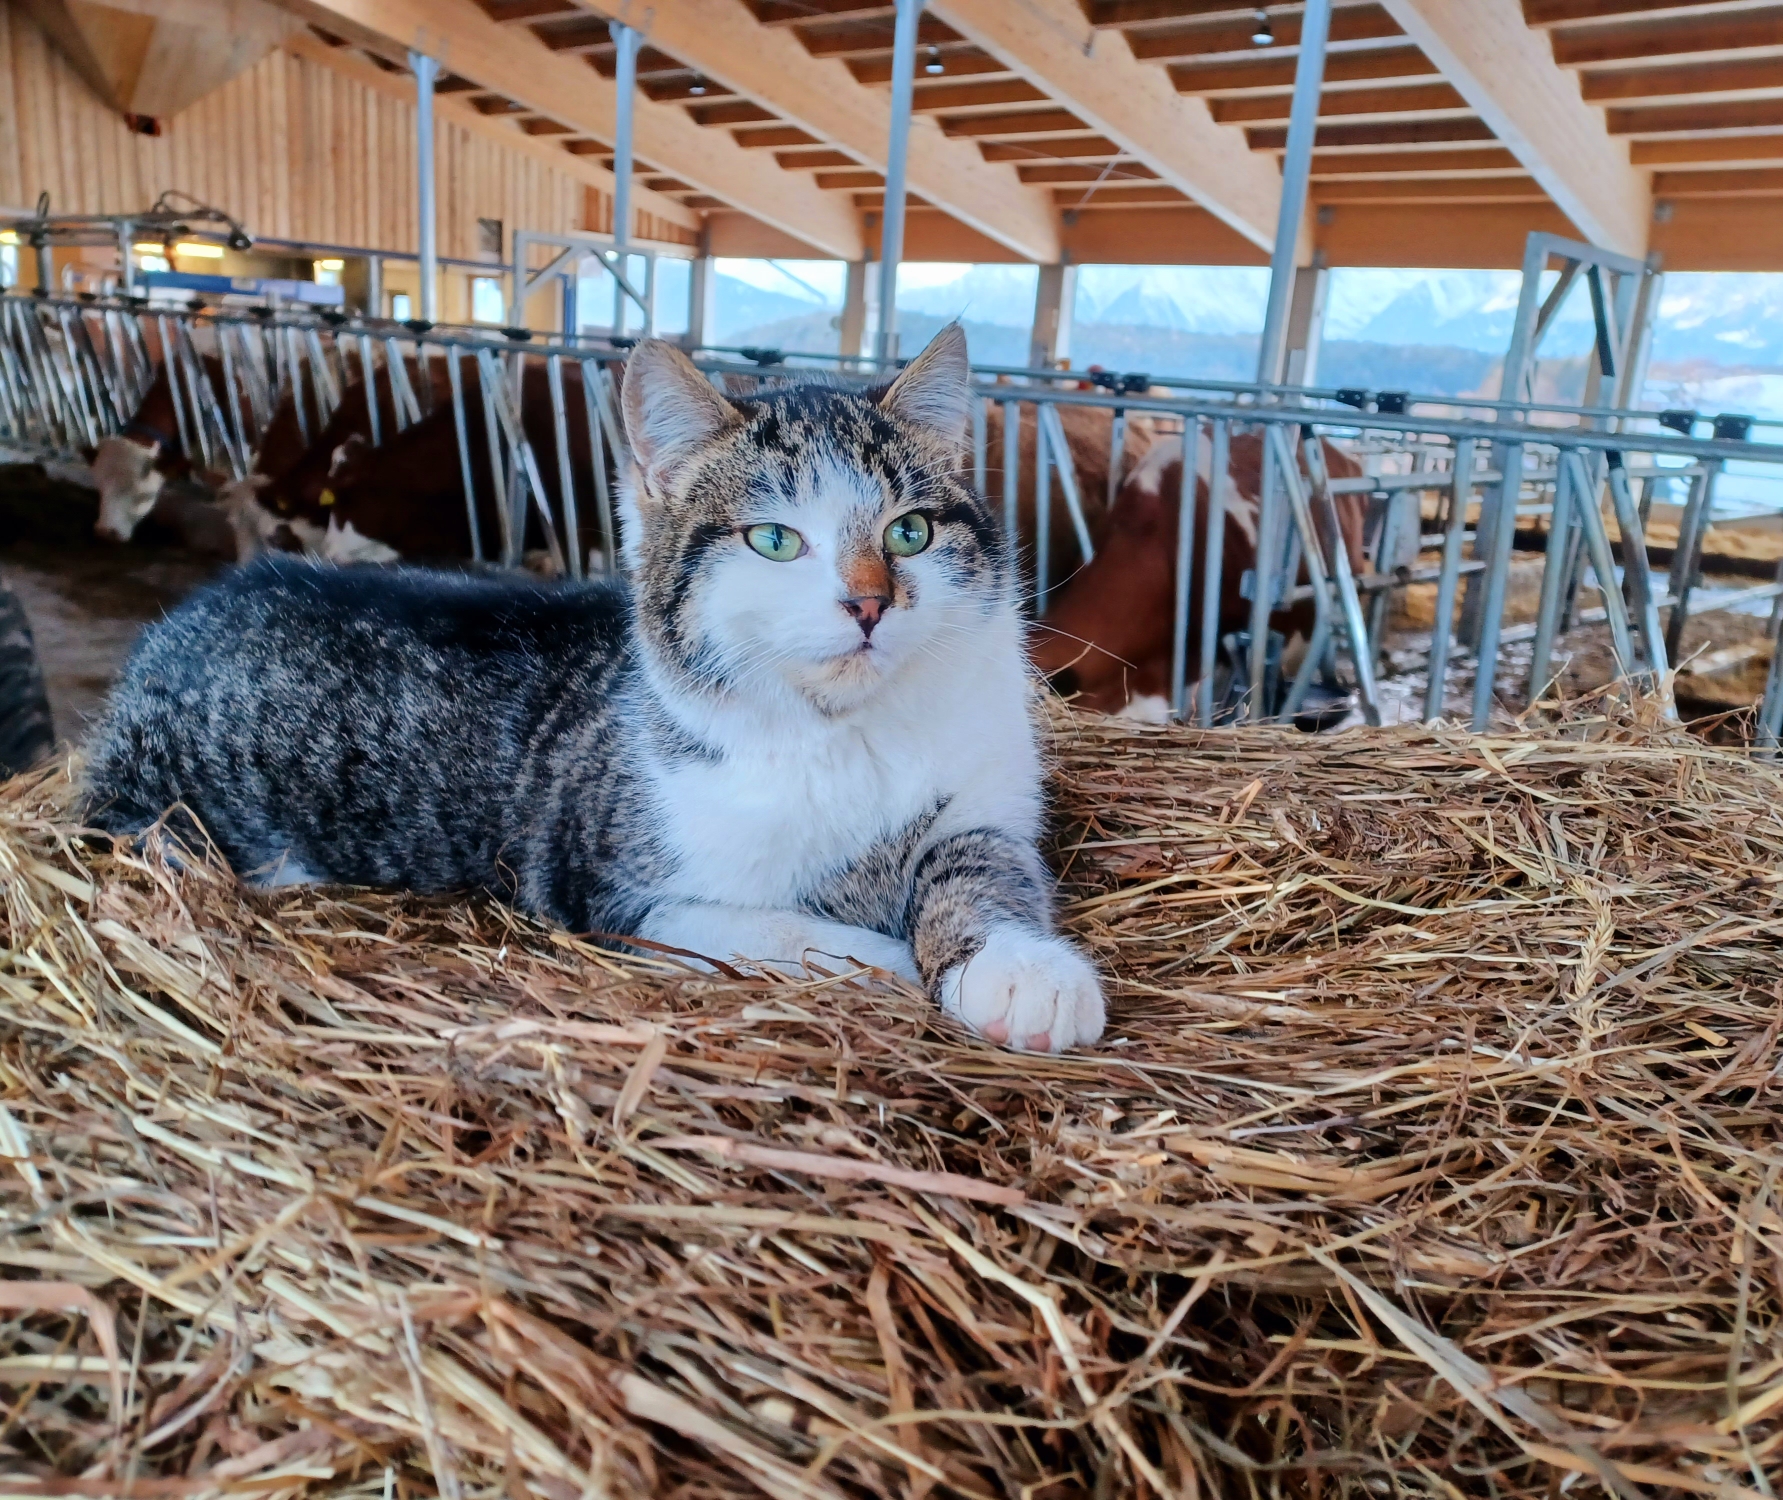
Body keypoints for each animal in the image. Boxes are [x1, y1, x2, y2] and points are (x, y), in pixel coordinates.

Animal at [94, 328, 1112, 1055]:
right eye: (773, 540)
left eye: (908, 532)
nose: (869, 601)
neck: (841, 731)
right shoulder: (612, 889)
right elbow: (769, 930)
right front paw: (881, 958)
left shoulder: (984, 799)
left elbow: (985, 867)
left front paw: (1023, 971)